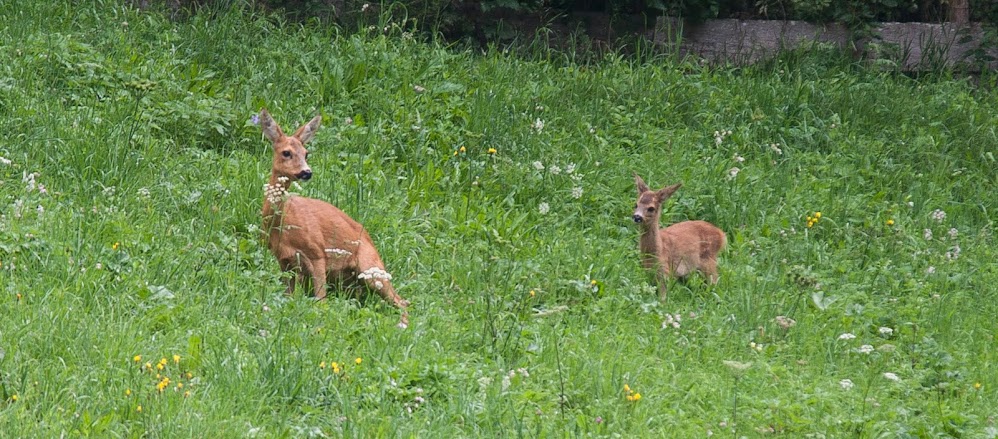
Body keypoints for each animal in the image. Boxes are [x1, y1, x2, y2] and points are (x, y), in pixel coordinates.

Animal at [260, 109, 412, 328]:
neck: (284, 223)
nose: (307, 172)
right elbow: (287, 297)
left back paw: (402, 324)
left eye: (306, 153)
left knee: (402, 300)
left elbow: (321, 301)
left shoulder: (317, 252)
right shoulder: (284, 260)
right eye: (286, 152)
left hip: (371, 267)